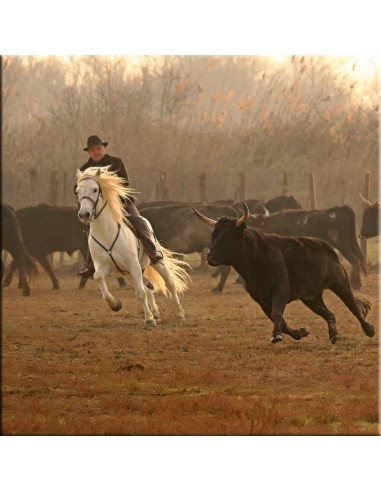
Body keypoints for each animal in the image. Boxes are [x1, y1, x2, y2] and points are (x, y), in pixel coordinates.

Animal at [75, 167, 190, 328]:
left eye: (95, 189)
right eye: (77, 191)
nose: (84, 214)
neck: (106, 232)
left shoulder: (133, 264)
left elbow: (140, 293)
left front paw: (149, 320)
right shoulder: (103, 266)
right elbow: (98, 278)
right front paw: (115, 304)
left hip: (156, 263)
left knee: (170, 285)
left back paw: (180, 314)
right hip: (127, 274)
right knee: (148, 290)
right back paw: (156, 313)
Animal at [193, 202, 374, 344]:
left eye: (228, 237)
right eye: (214, 235)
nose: (211, 258)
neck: (256, 259)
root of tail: (328, 249)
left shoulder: (280, 292)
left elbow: (277, 314)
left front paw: (276, 336)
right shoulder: (261, 299)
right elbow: (279, 320)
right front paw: (300, 332)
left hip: (340, 283)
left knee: (353, 307)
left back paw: (369, 329)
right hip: (311, 297)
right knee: (329, 314)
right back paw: (334, 334)